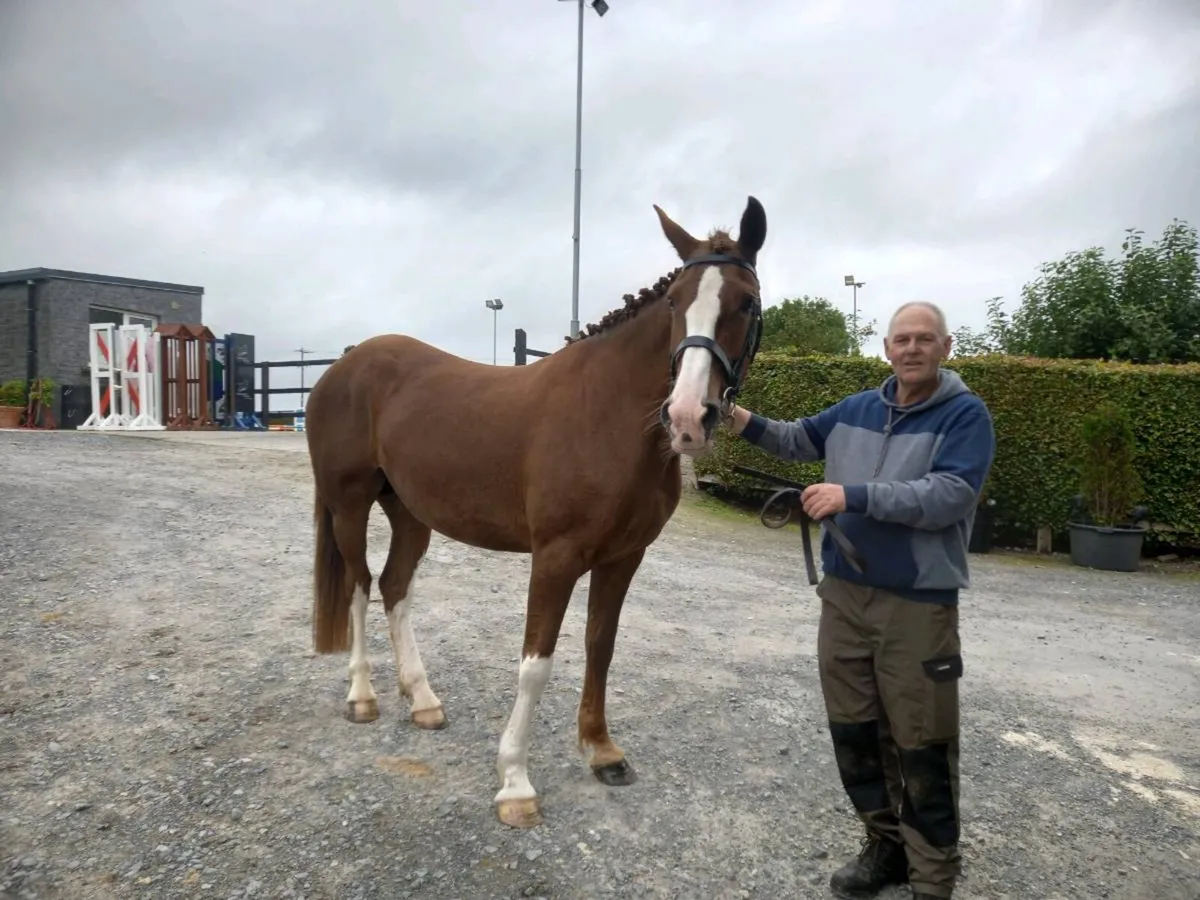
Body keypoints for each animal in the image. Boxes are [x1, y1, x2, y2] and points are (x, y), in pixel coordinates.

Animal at [303, 195, 768, 828]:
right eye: (675, 300)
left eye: (746, 303)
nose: (687, 417)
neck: (609, 415)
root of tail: (342, 366)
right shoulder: (556, 557)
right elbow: (536, 663)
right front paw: (515, 783)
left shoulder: (624, 557)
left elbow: (601, 646)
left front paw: (602, 752)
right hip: (348, 505)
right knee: (358, 586)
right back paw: (362, 695)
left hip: (411, 515)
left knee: (395, 588)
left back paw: (422, 700)